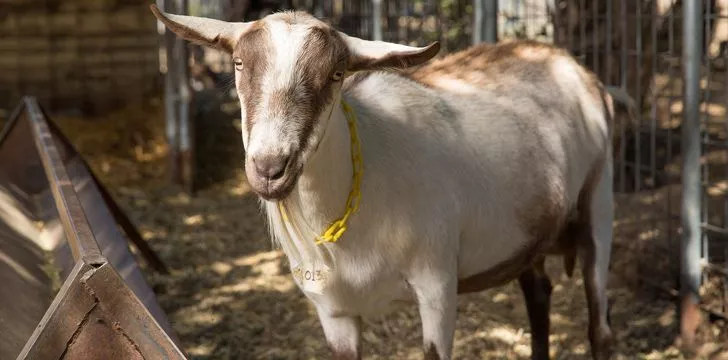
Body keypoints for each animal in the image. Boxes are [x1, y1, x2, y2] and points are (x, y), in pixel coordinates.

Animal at [151, 4, 628, 358]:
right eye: (238, 63)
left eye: (336, 74)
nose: (270, 168)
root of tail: (572, 65)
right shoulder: (333, 312)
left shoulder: (437, 284)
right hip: (527, 233)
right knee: (539, 296)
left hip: (600, 201)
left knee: (599, 326)